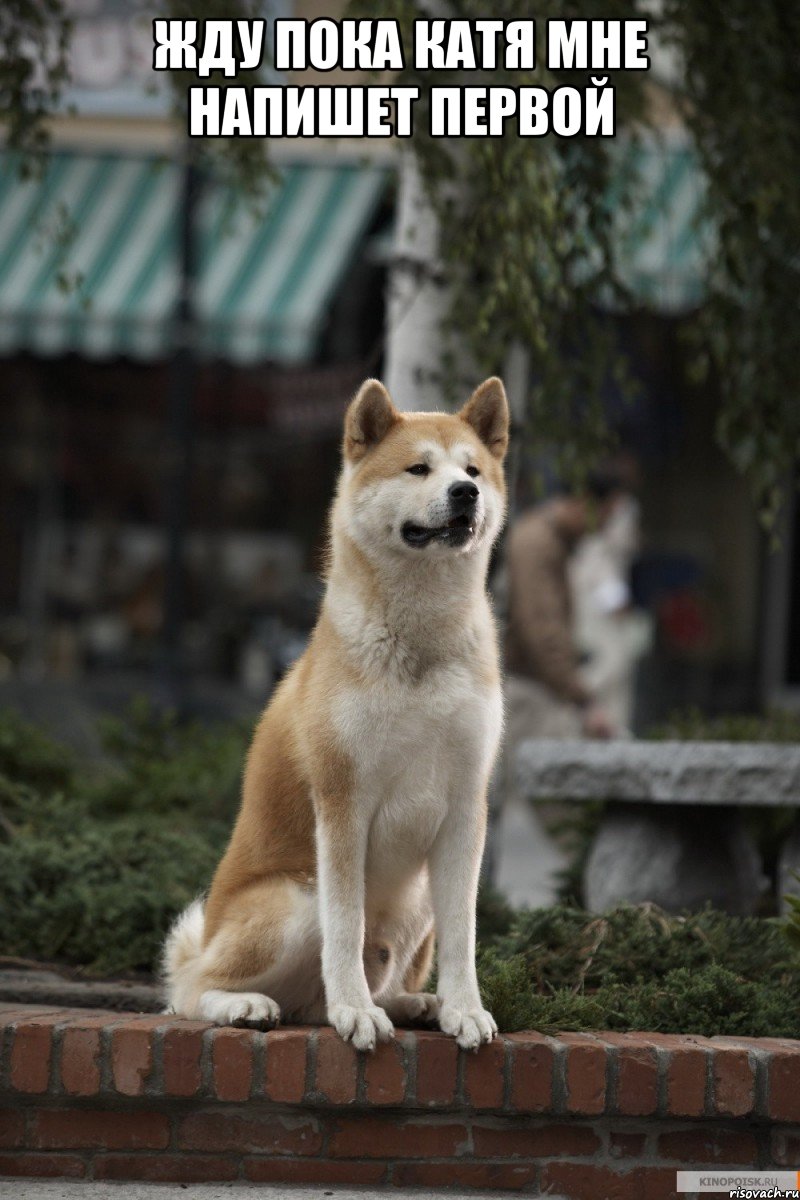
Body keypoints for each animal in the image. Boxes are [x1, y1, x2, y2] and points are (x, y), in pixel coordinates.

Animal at [165, 374, 510, 1051]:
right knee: (189, 990)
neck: (420, 643)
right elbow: (346, 928)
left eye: (473, 470)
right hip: (295, 900)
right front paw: (355, 1011)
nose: (465, 493)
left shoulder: (466, 806)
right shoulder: (343, 801)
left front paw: (464, 1009)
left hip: (417, 900)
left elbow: (464, 935)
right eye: (418, 468)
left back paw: (415, 1003)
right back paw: (250, 1005)